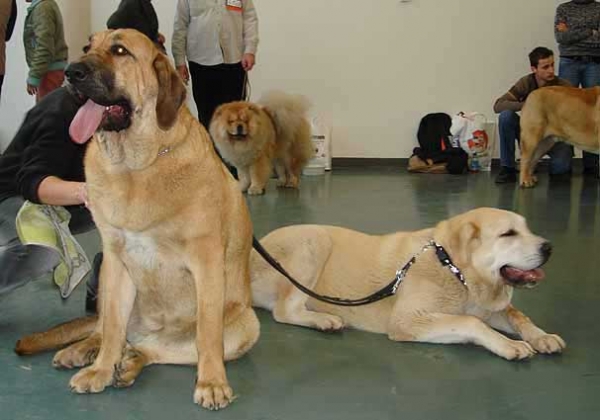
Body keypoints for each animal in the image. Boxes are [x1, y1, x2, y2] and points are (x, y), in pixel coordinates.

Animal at [15, 29, 258, 410]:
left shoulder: (206, 262)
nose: (71, 72)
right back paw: (86, 352)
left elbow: (207, 334)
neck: (137, 164)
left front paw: (212, 383)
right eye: (87, 47)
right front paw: (101, 369)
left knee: (152, 349)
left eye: (119, 51)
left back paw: (129, 364)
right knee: (106, 329)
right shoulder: (117, 263)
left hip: (246, 323)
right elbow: (113, 326)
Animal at [251, 208, 564, 360]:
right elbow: (470, 322)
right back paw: (324, 320)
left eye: (527, 228)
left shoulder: (490, 308)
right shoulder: (407, 320)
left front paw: (541, 336)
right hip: (314, 240)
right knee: (284, 311)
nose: (549, 247)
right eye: (508, 234)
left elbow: (518, 316)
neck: (454, 269)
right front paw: (507, 344)